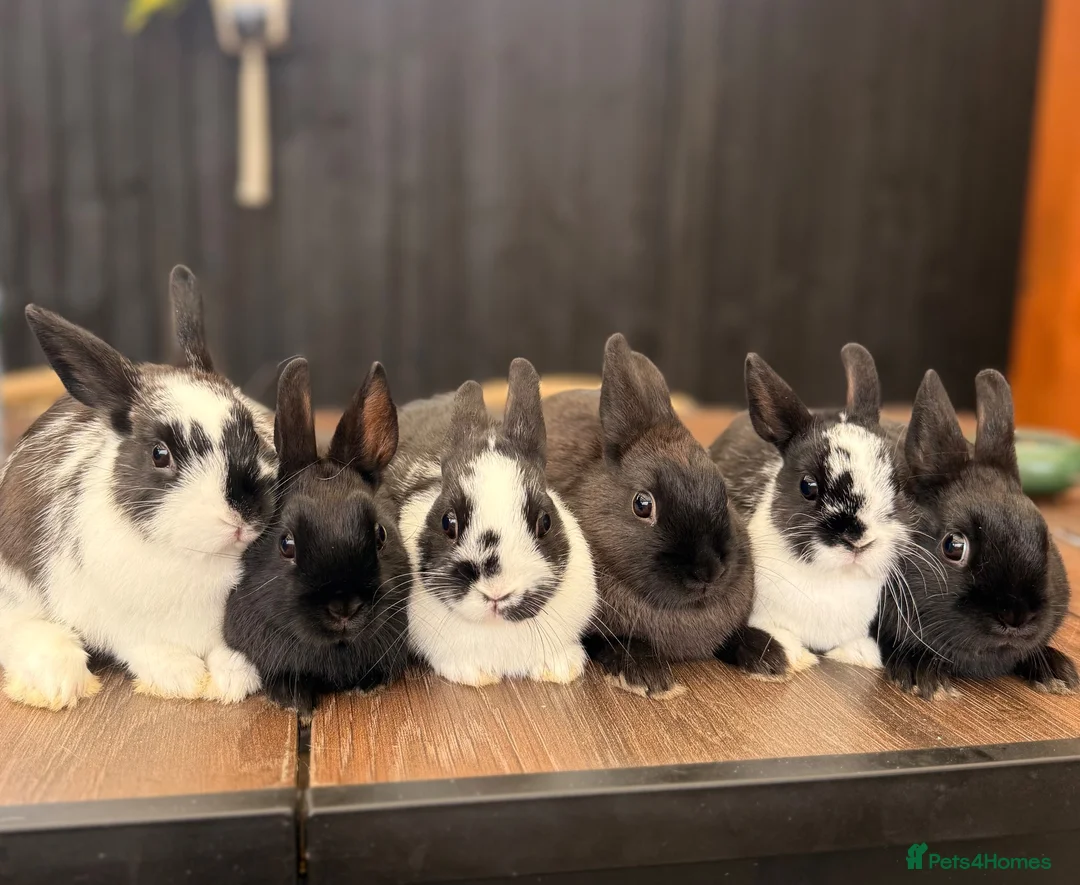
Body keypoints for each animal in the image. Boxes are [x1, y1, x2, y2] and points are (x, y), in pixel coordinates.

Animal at [0, 266, 277, 710]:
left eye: (250, 428)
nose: (244, 512)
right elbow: (144, 646)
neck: (199, 558)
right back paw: (58, 681)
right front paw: (183, 677)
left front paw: (232, 679)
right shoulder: (117, 620)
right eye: (159, 454)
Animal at [543, 334, 770, 699]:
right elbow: (616, 643)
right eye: (642, 505)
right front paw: (649, 677)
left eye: (723, 493)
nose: (708, 571)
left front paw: (770, 656)